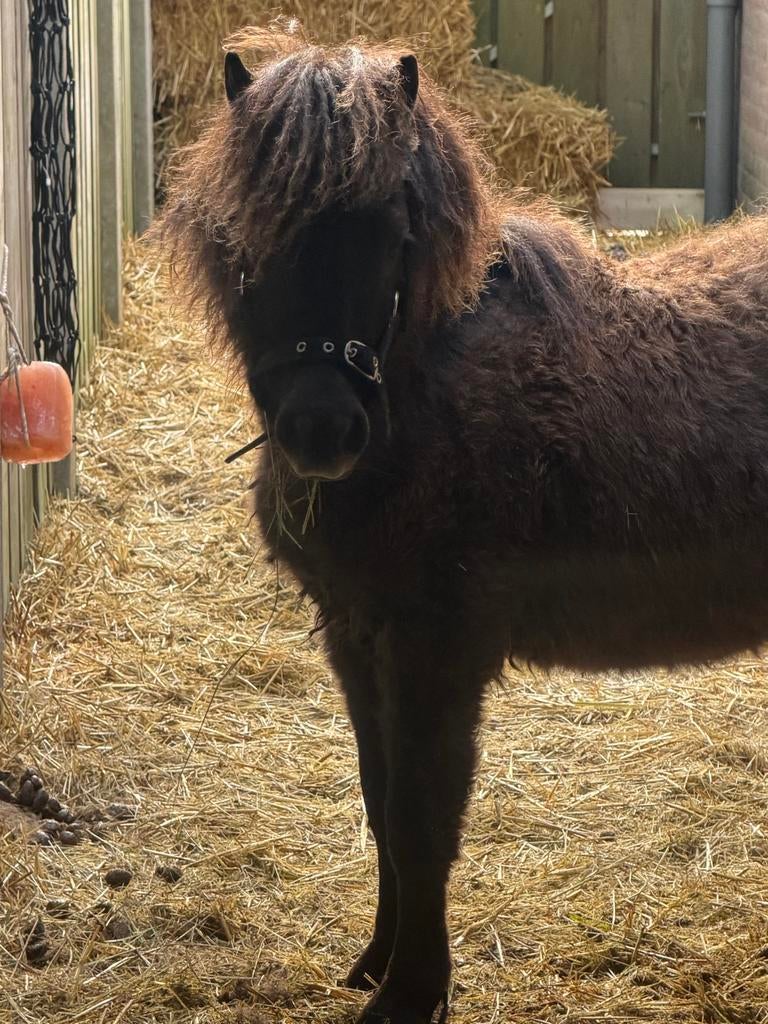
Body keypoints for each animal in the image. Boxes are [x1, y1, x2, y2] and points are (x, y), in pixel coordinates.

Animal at [157, 25, 768, 1023]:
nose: (322, 430)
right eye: (253, 235)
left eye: (392, 236)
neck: (426, 407)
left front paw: (413, 993)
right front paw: (378, 962)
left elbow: (422, 820)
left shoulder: (436, 649)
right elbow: (380, 804)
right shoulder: (357, 638)